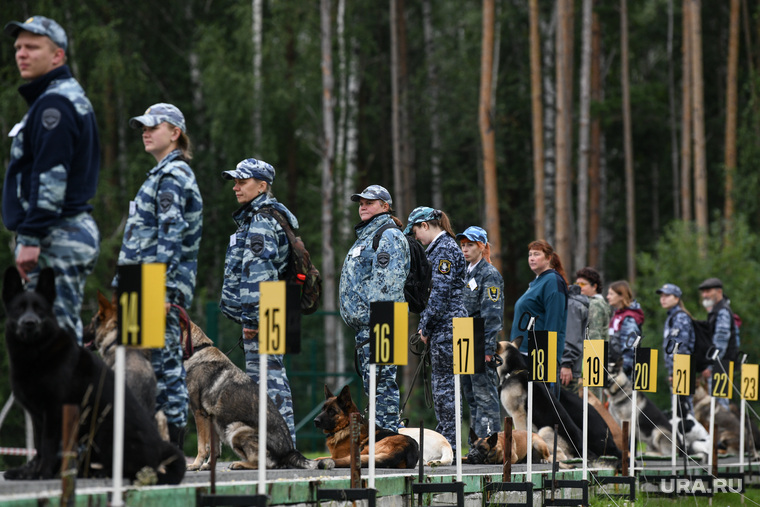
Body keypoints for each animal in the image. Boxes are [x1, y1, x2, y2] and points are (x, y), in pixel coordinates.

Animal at [183, 322, 334, 472]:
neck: (197, 349)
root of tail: (290, 452)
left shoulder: (199, 414)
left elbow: (202, 446)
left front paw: (195, 465)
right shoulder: (212, 419)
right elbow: (214, 448)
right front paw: (208, 465)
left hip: (235, 428)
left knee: (264, 463)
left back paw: (240, 464)